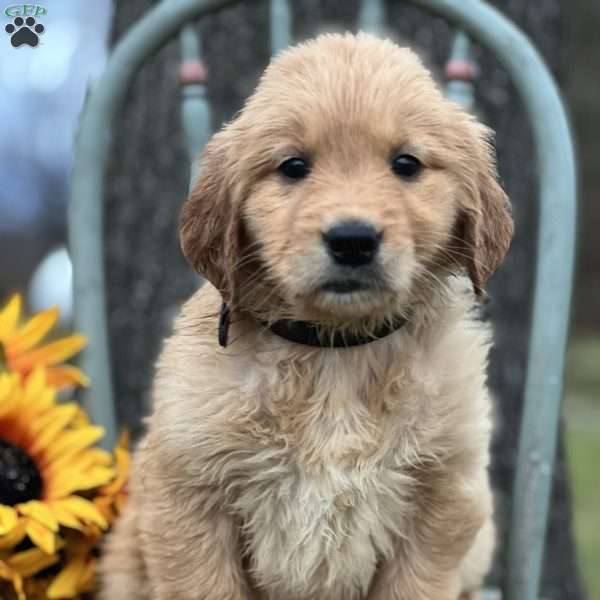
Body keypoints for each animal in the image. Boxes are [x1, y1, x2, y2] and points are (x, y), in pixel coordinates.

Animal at [98, 32, 510, 600]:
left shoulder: (443, 498)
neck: (335, 353)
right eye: (294, 167)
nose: (353, 239)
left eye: (406, 164)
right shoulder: (189, 497)